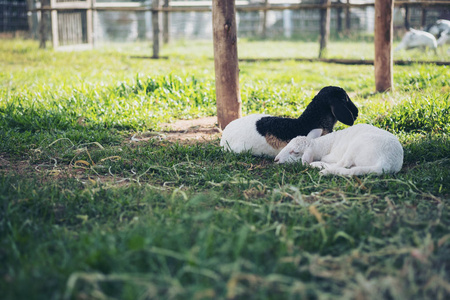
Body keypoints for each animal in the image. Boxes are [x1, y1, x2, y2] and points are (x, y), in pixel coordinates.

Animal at [274, 123, 404, 176]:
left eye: (295, 152)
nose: (276, 160)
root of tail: (386, 162)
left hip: (356, 146)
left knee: (343, 164)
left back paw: (318, 166)